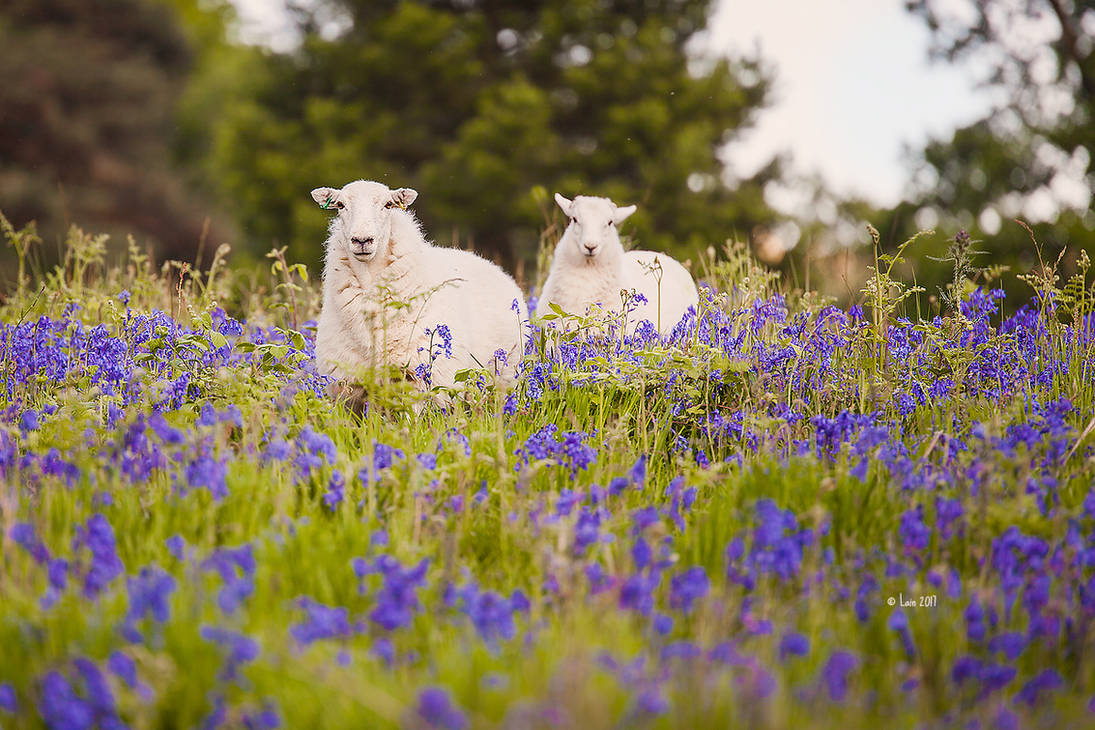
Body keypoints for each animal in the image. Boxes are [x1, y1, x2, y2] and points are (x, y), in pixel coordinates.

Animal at [310, 179, 527, 396]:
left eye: (388, 205)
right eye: (340, 205)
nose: (362, 240)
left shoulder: (425, 382)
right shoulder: (348, 389)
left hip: (505, 379)